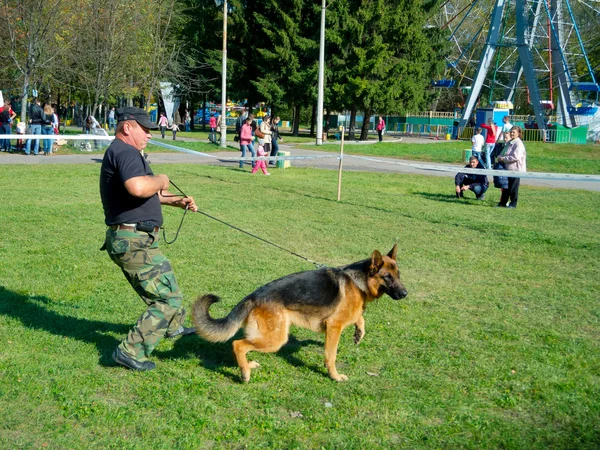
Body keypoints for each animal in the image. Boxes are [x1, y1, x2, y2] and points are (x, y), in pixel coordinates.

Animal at [192, 244, 408, 382]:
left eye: (398, 275)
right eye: (387, 277)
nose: (405, 294)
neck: (358, 281)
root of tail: (254, 295)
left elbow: (359, 317)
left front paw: (358, 333)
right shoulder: (334, 326)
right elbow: (331, 356)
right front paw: (334, 376)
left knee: (244, 345)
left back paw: (248, 365)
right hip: (276, 339)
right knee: (238, 344)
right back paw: (245, 373)